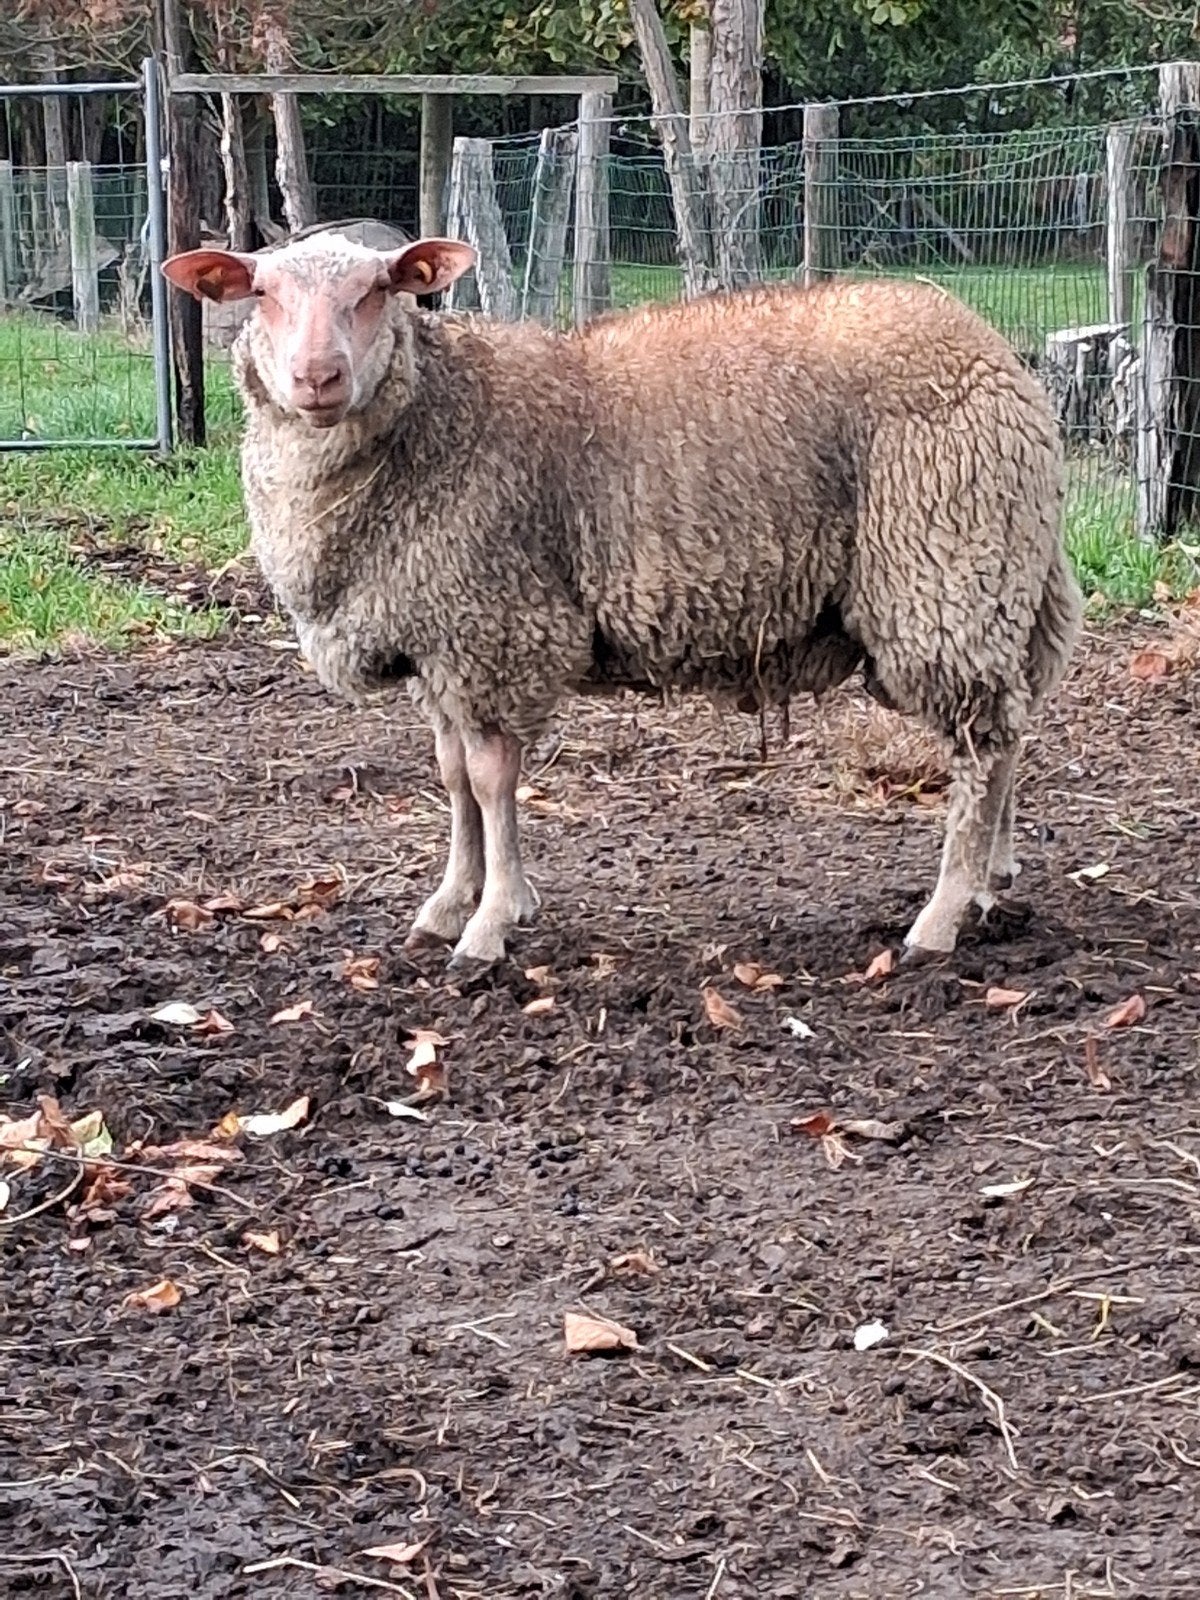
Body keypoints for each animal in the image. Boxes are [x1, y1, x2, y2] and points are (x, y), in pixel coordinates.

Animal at [162, 233, 1081, 969]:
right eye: (263, 293)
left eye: (377, 291)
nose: (318, 378)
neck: (437, 414)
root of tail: (995, 355)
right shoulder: (439, 644)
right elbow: (453, 778)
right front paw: (450, 903)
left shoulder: (496, 626)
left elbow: (492, 782)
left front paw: (491, 923)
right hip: (997, 582)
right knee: (1009, 727)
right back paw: (990, 885)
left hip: (945, 574)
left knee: (982, 745)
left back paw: (941, 917)